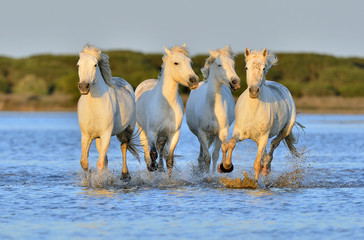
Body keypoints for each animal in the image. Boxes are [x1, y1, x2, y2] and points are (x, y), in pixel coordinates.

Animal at [77, 45, 138, 180]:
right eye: (78, 65)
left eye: (95, 65)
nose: (84, 86)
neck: (93, 108)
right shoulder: (86, 135)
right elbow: (84, 163)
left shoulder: (106, 134)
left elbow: (100, 162)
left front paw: (101, 182)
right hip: (98, 138)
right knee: (105, 158)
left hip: (127, 130)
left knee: (123, 147)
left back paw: (125, 175)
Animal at [135, 44, 199, 176]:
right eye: (176, 63)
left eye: (189, 62)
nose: (194, 80)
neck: (166, 105)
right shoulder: (152, 133)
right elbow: (153, 155)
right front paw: (153, 168)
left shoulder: (174, 134)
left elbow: (169, 160)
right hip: (142, 130)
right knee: (147, 154)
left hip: (163, 136)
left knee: (161, 151)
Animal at [219, 48, 298, 180]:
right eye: (246, 67)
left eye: (263, 68)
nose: (254, 91)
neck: (253, 111)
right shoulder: (239, 132)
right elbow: (231, 143)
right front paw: (226, 166)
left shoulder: (263, 137)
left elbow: (256, 164)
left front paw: (255, 182)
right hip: (256, 138)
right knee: (265, 152)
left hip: (284, 130)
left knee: (273, 145)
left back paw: (266, 168)